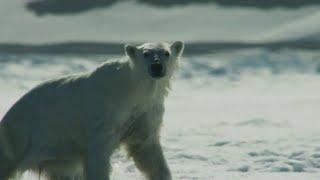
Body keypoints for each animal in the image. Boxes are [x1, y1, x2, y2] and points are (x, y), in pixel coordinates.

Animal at [0, 41, 184, 179]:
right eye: (146, 53)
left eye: (166, 53)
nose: (156, 66)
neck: (133, 89)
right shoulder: (105, 114)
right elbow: (98, 153)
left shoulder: (147, 111)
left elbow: (145, 148)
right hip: (18, 139)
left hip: (57, 157)